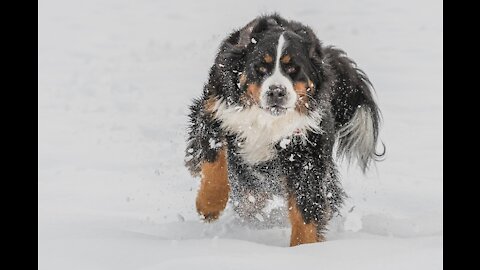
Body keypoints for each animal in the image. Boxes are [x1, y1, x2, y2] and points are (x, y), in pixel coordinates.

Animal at [184, 14, 382, 247]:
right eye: (260, 68)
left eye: (293, 69)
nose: (276, 91)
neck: (267, 121)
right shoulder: (215, 113)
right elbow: (215, 162)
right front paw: (209, 205)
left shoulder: (305, 151)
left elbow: (306, 207)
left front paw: (303, 248)